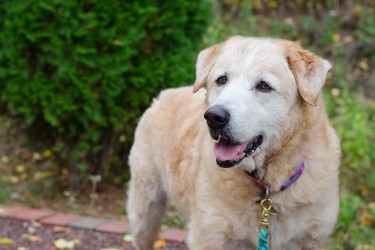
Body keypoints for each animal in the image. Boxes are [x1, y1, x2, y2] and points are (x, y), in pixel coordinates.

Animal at [126, 35, 340, 250]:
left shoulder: (309, 239)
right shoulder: (208, 236)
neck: (267, 189)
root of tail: (164, 94)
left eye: (264, 86)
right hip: (146, 209)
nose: (214, 117)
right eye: (222, 80)